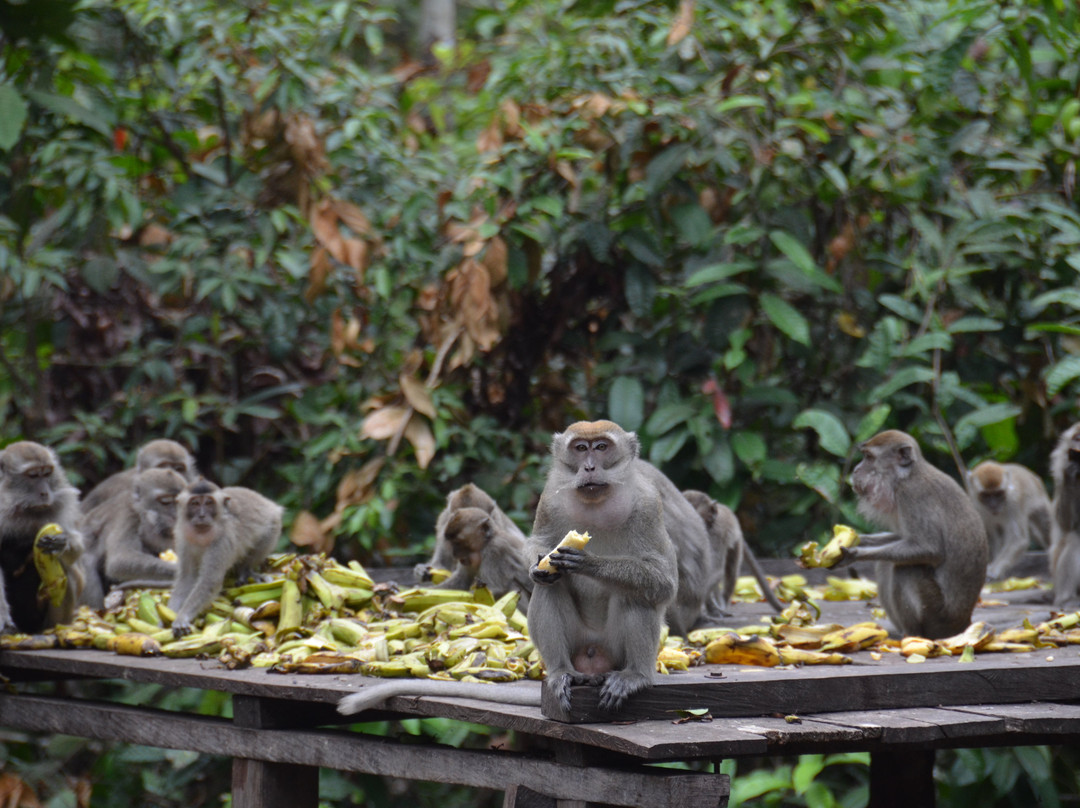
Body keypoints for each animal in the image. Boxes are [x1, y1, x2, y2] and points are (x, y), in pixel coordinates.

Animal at [0, 441, 87, 633]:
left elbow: (76, 555)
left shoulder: (65, 508)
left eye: (47, 473)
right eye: (33, 475)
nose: (45, 493)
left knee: (65, 569)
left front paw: (63, 544)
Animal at [169, 479, 282, 637]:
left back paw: (245, 571)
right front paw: (170, 613)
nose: (202, 515)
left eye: (209, 503)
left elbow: (210, 580)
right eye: (195, 503)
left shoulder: (223, 539)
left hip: (273, 521)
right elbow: (188, 577)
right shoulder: (183, 538)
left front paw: (181, 617)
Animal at [837, 429, 988, 640]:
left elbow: (929, 549)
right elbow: (903, 539)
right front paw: (860, 540)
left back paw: (912, 634)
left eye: (869, 457)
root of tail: (964, 623)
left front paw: (855, 554)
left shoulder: (911, 495)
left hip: (938, 617)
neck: (907, 476)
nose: (856, 470)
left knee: (906, 569)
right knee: (887, 563)